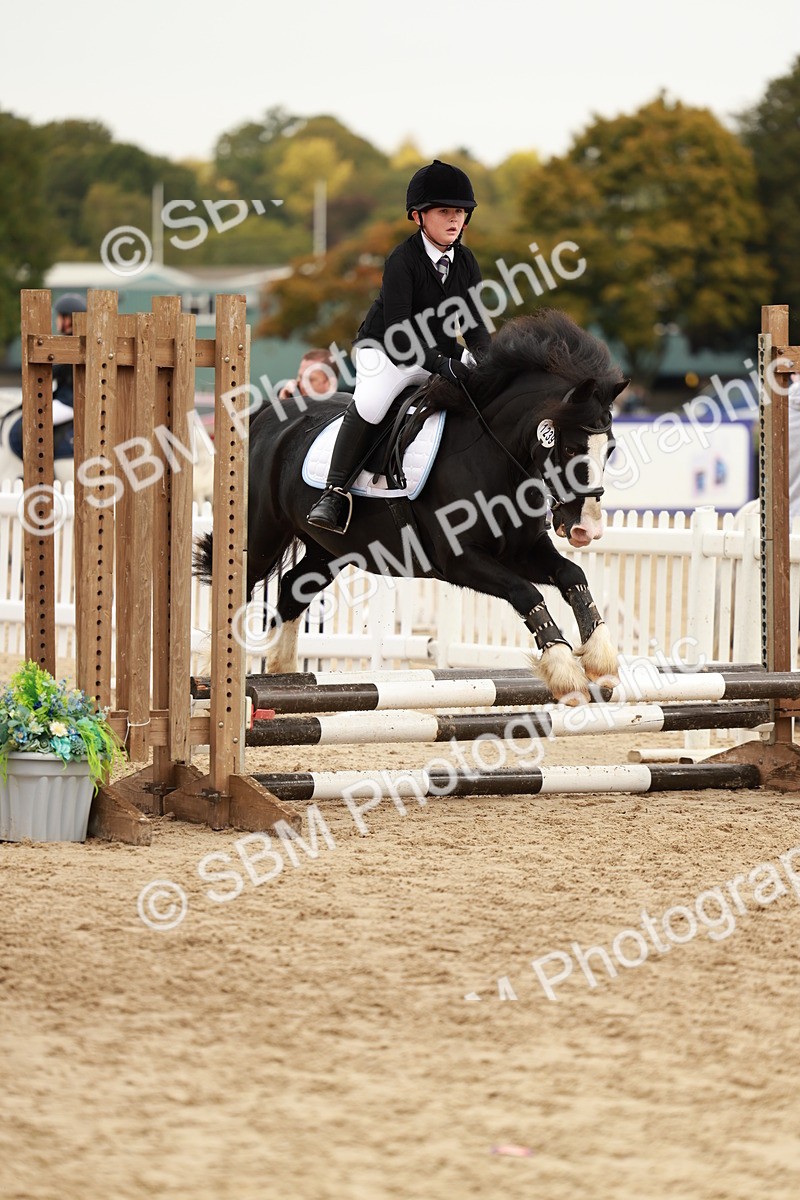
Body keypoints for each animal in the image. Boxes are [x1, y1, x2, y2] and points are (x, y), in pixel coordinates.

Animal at [194, 310, 628, 702]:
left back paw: (283, 675)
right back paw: (210, 673)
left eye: (609, 448)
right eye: (570, 448)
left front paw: (601, 658)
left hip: (330, 548)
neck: (496, 458)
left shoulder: (521, 550)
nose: (587, 529)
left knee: (292, 589)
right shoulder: (460, 560)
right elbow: (525, 593)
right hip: (261, 533)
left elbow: (572, 575)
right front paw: (563, 669)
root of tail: (268, 414)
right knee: (236, 588)